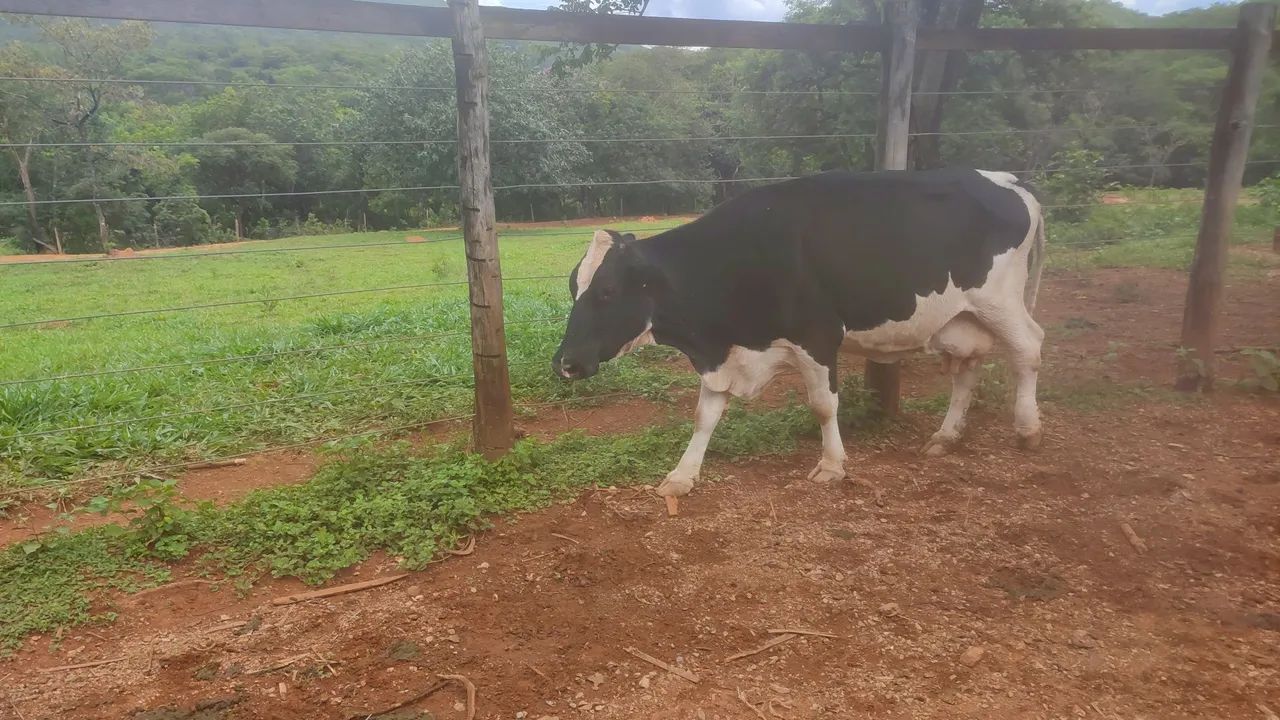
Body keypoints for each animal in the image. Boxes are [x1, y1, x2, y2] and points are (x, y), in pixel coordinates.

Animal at [551, 168, 1046, 498]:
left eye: (608, 292)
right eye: (573, 285)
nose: (565, 363)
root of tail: (1007, 179)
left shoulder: (818, 336)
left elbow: (824, 406)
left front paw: (832, 465)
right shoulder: (722, 353)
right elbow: (705, 415)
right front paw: (682, 475)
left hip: (999, 302)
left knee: (1029, 348)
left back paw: (1027, 428)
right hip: (960, 319)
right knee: (967, 368)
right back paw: (947, 436)